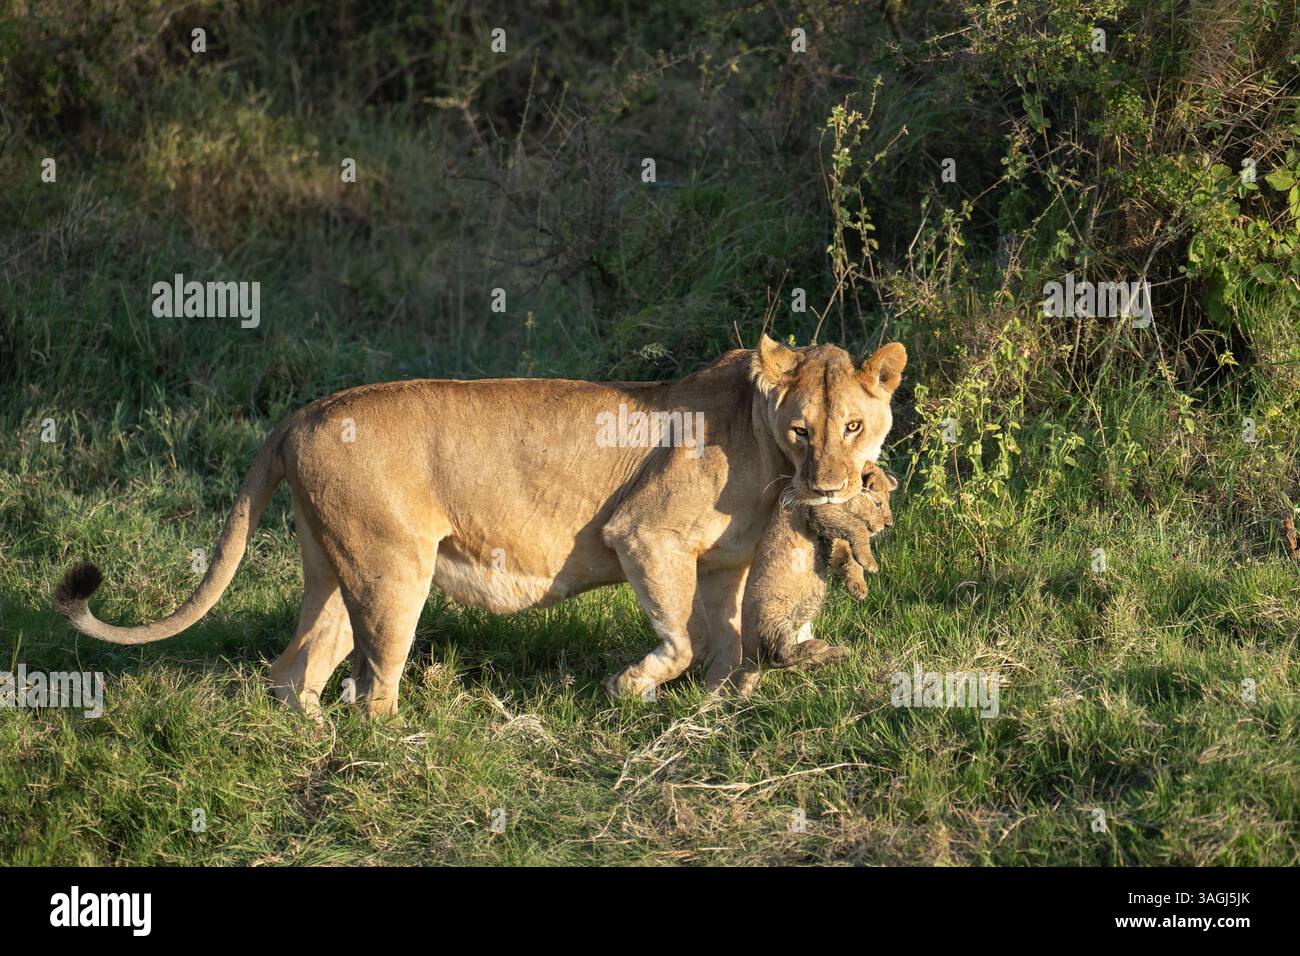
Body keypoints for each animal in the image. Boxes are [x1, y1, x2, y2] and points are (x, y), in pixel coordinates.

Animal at [734, 464, 896, 694]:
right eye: (878, 503)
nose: (889, 525)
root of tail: (747, 658)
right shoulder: (820, 512)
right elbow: (856, 528)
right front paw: (870, 562)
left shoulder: (832, 541)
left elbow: (850, 558)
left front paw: (859, 587)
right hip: (774, 618)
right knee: (779, 656)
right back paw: (819, 646)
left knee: (797, 664)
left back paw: (836, 652)